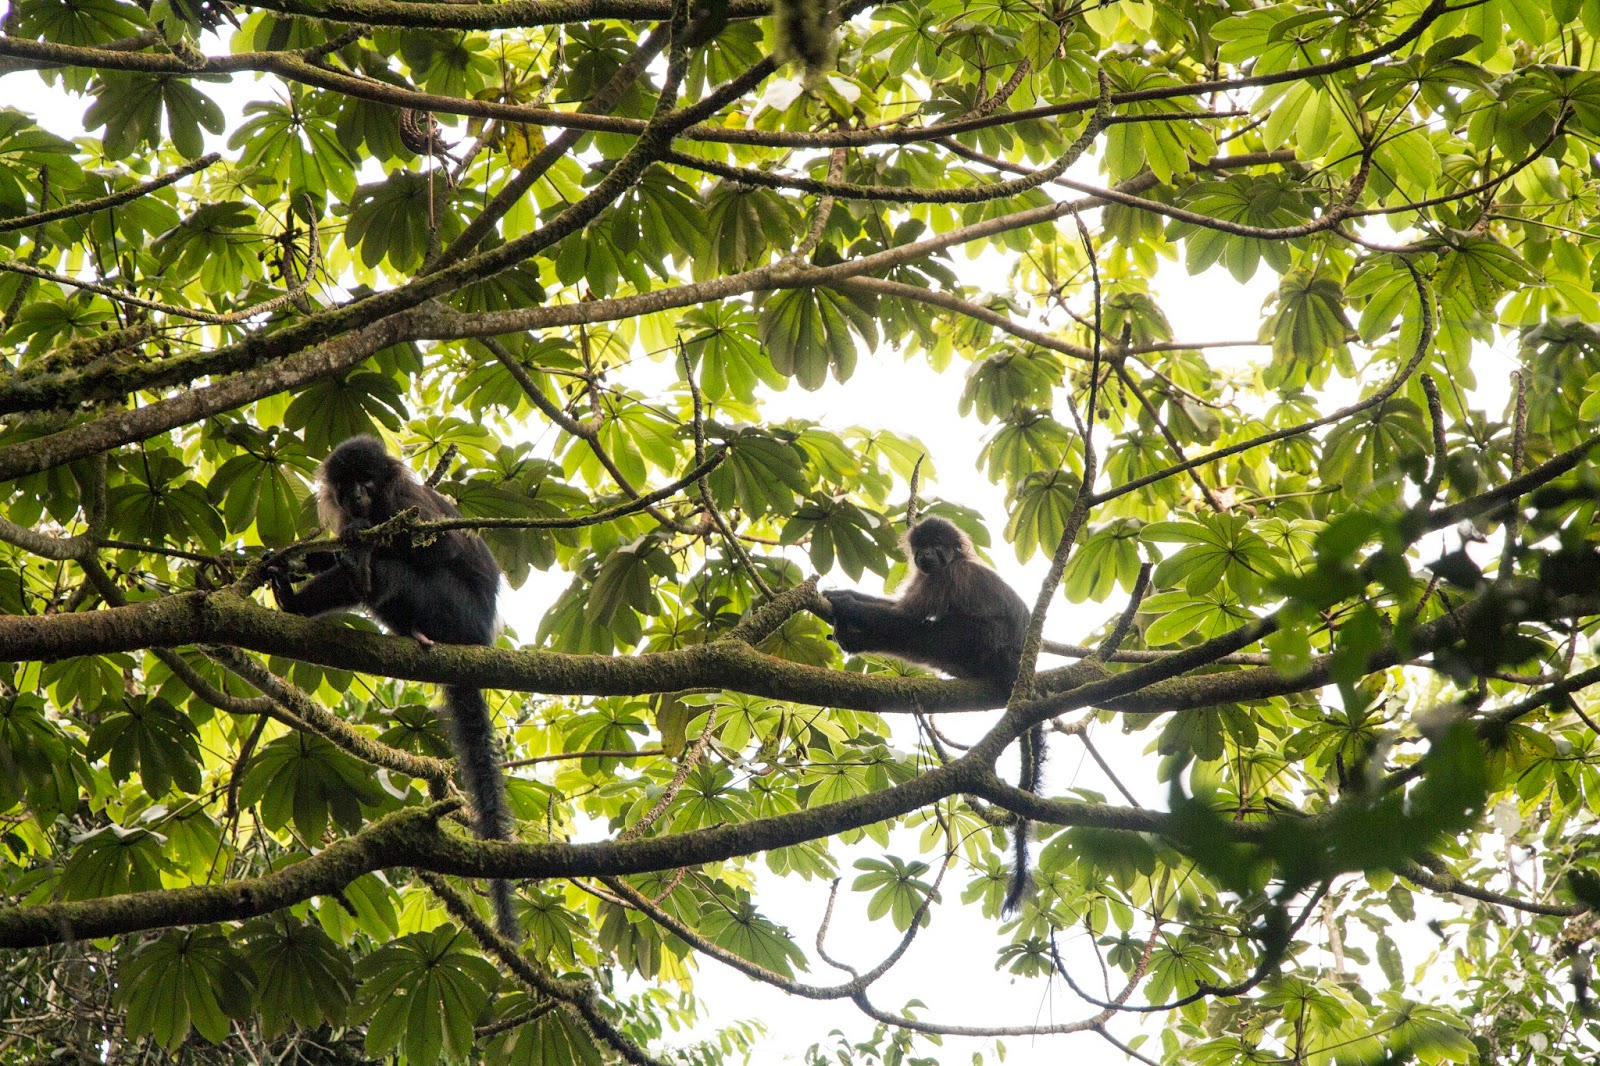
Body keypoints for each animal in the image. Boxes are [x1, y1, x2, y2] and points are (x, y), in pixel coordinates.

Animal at [268, 435, 517, 937]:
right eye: (347, 484)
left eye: (366, 480)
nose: (357, 497)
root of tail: (479, 635)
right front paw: (290, 556)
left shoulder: (405, 504)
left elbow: (441, 545)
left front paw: (359, 535)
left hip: (450, 608)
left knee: (391, 569)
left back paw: (347, 578)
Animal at [816, 516, 1042, 913]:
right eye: (921, 547)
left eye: (937, 545)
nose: (926, 556)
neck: (955, 561)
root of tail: (1017, 658)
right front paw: (841, 597)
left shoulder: (944, 577)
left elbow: (906, 616)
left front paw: (845, 601)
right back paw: (854, 638)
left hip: (975, 641)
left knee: (917, 631)